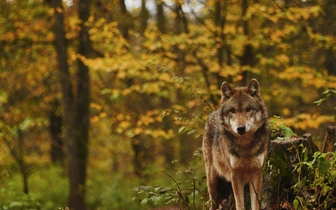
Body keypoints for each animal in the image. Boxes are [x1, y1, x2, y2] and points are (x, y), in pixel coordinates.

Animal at [202, 79, 270, 210]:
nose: (241, 128)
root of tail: (214, 112)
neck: (245, 147)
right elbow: (240, 205)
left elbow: (255, 205)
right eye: (232, 111)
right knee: (212, 204)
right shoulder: (235, 175)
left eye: (248, 109)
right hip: (212, 181)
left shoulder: (256, 173)